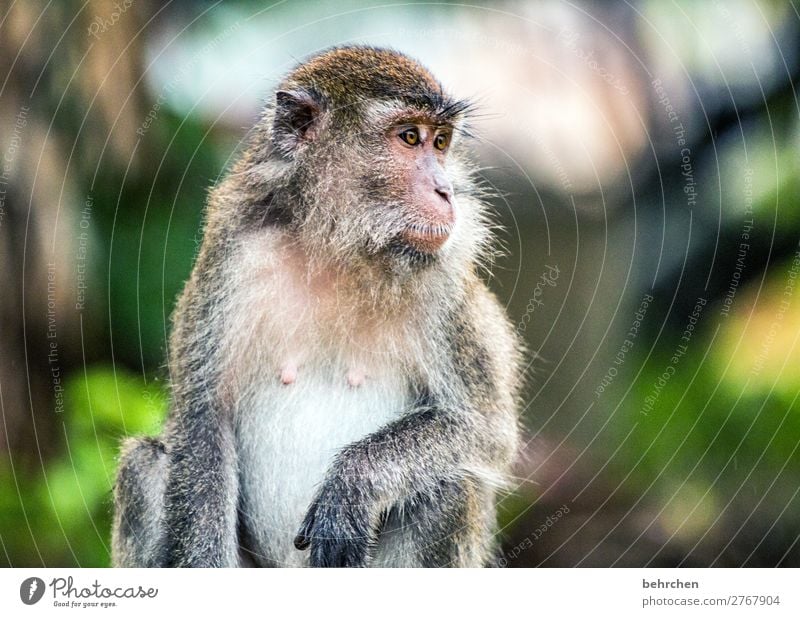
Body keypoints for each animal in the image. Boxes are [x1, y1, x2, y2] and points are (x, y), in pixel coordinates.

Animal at [112, 45, 524, 564]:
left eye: (442, 142)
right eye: (410, 137)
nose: (446, 191)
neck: (337, 247)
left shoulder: (446, 293)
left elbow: (484, 429)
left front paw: (353, 481)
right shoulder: (232, 255)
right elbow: (204, 421)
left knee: (451, 483)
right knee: (144, 464)